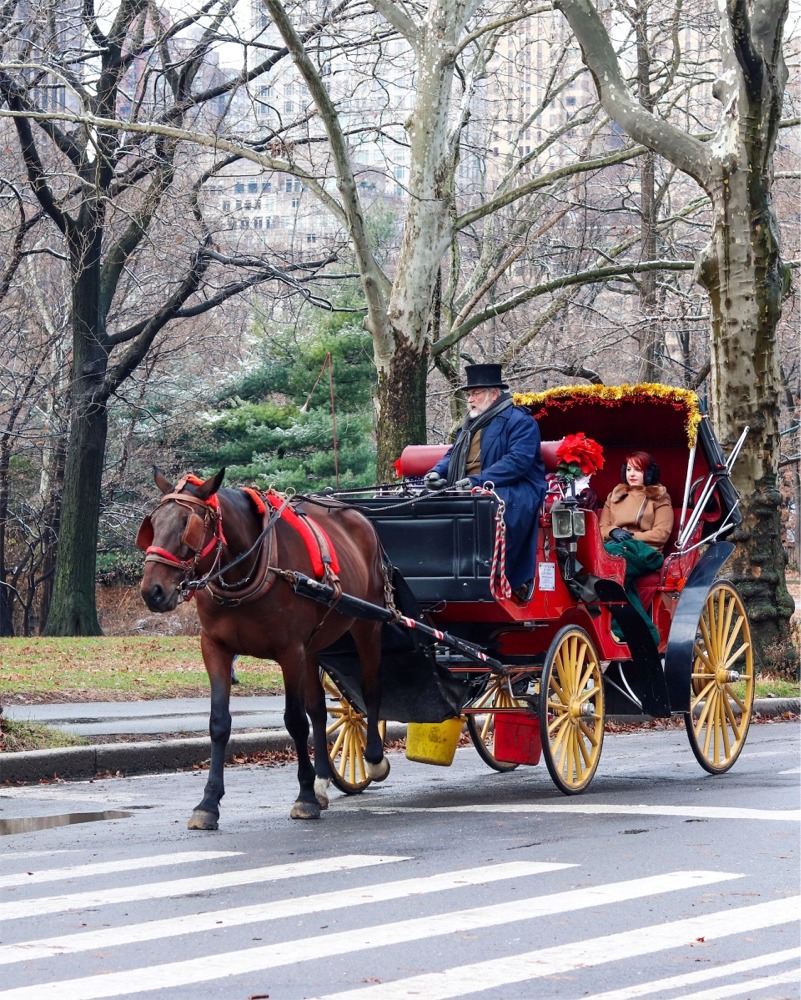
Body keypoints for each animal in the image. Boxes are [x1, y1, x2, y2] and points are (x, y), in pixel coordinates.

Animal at [137, 468, 390, 829]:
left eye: (188, 525)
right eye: (153, 524)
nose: (152, 591)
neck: (246, 572)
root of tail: (358, 515)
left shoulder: (290, 652)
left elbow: (295, 720)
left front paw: (304, 797)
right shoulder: (215, 648)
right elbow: (219, 723)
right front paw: (208, 803)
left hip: (367, 626)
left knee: (369, 692)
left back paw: (373, 759)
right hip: (314, 647)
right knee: (319, 709)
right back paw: (323, 779)